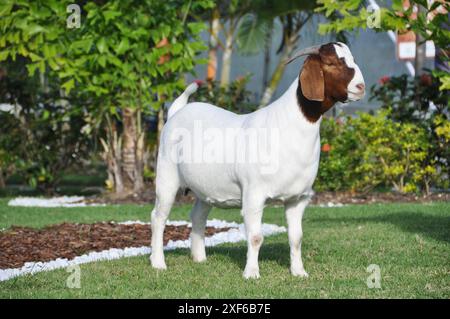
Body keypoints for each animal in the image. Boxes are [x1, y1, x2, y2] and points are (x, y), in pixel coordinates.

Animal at [151, 43, 366, 280]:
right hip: (167, 176)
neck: (289, 126)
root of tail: (176, 113)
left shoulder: (298, 198)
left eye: (352, 58)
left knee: (197, 215)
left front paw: (299, 272)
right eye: (330, 62)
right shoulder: (254, 194)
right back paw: (158, 262)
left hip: (205, 187)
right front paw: (252, 273)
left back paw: (199, 258)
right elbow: (255, 237)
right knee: (158, 217)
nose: (360, 87)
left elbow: (296, 237)